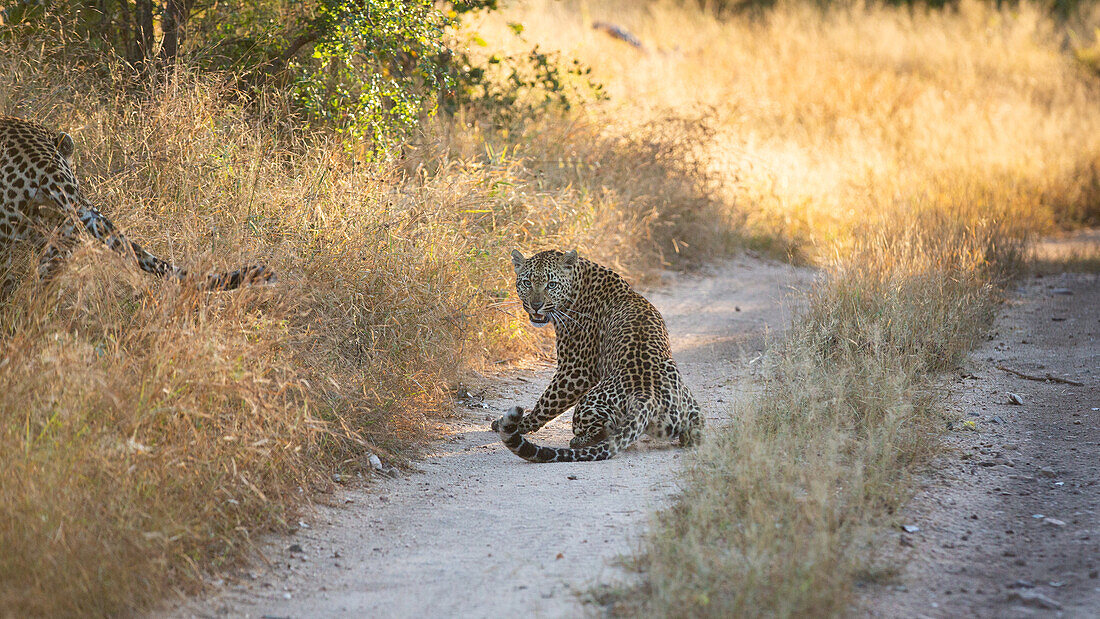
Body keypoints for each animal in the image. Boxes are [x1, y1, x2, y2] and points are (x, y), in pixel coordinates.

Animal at [492, 249, 699, 461]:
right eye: (527, 282)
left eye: (551, 284)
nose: (536, 305)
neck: (577, 286)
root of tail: (645, 397)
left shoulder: (576, 370)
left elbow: (546, 403)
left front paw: (519, 424)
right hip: (690, 407)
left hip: (586, 404)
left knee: (604, 430)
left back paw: (578, 441)